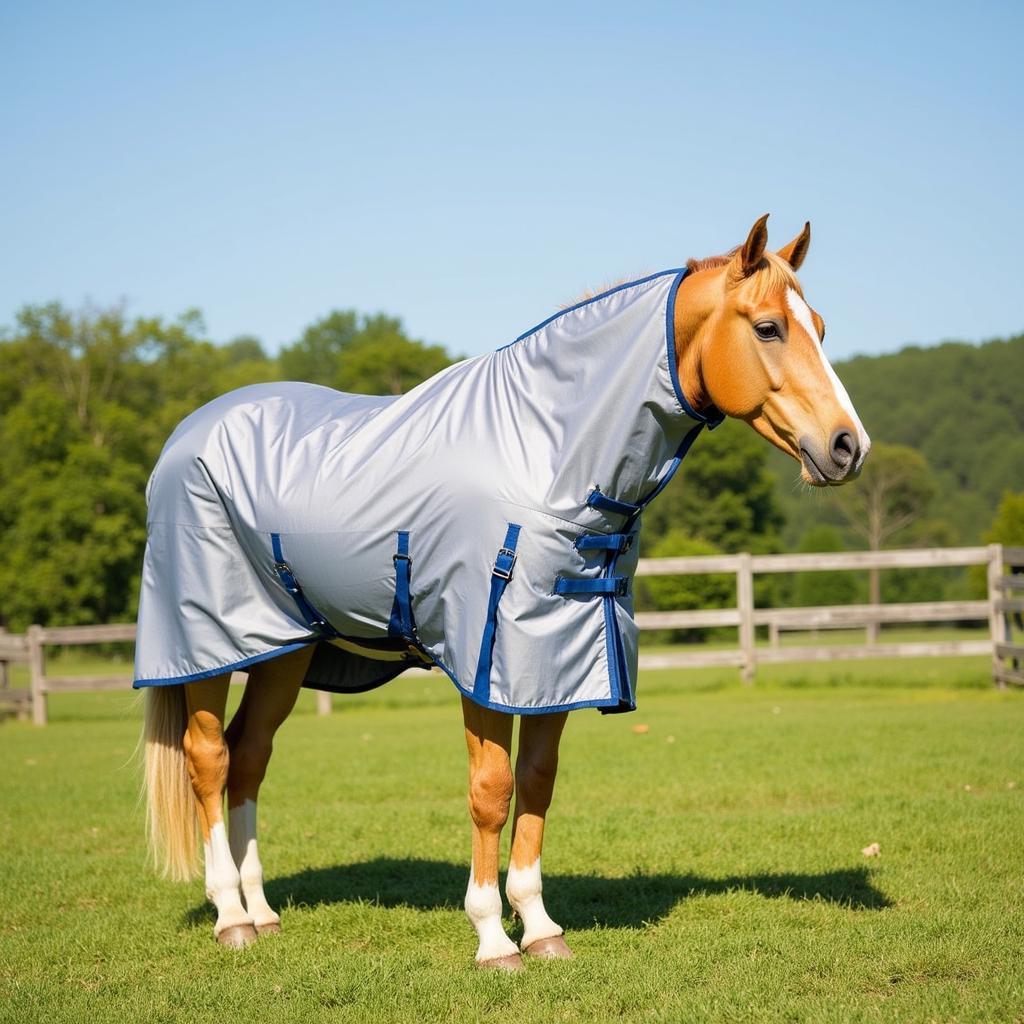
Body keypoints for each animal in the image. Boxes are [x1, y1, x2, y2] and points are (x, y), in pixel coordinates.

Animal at [140, 216, 868, 966]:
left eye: (819, 326)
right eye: (768, 328)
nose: (849, 447)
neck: (547, 454)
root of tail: (189, 432)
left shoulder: (557, 663)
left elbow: (538, 781)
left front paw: (541, 927)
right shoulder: (485, 661)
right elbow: (492, 790)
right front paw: (493, 935)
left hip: (281, 651)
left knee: (250, 756)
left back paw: (263, 911)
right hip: (206, 647)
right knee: (209, 759)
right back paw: (231, 916)